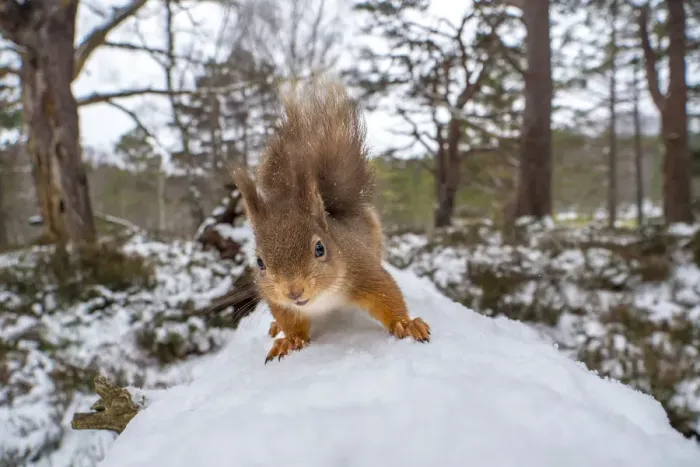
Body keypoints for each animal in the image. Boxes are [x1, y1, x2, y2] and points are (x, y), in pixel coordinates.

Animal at [231, 78, 431, 363]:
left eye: (319, 248)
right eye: (260, 262)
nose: (294, 292)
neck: (321, 299)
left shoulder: (363, 269)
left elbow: (388, 294)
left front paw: (406, 323)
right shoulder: (277, 301)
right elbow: (290, 321)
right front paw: (290, 340)